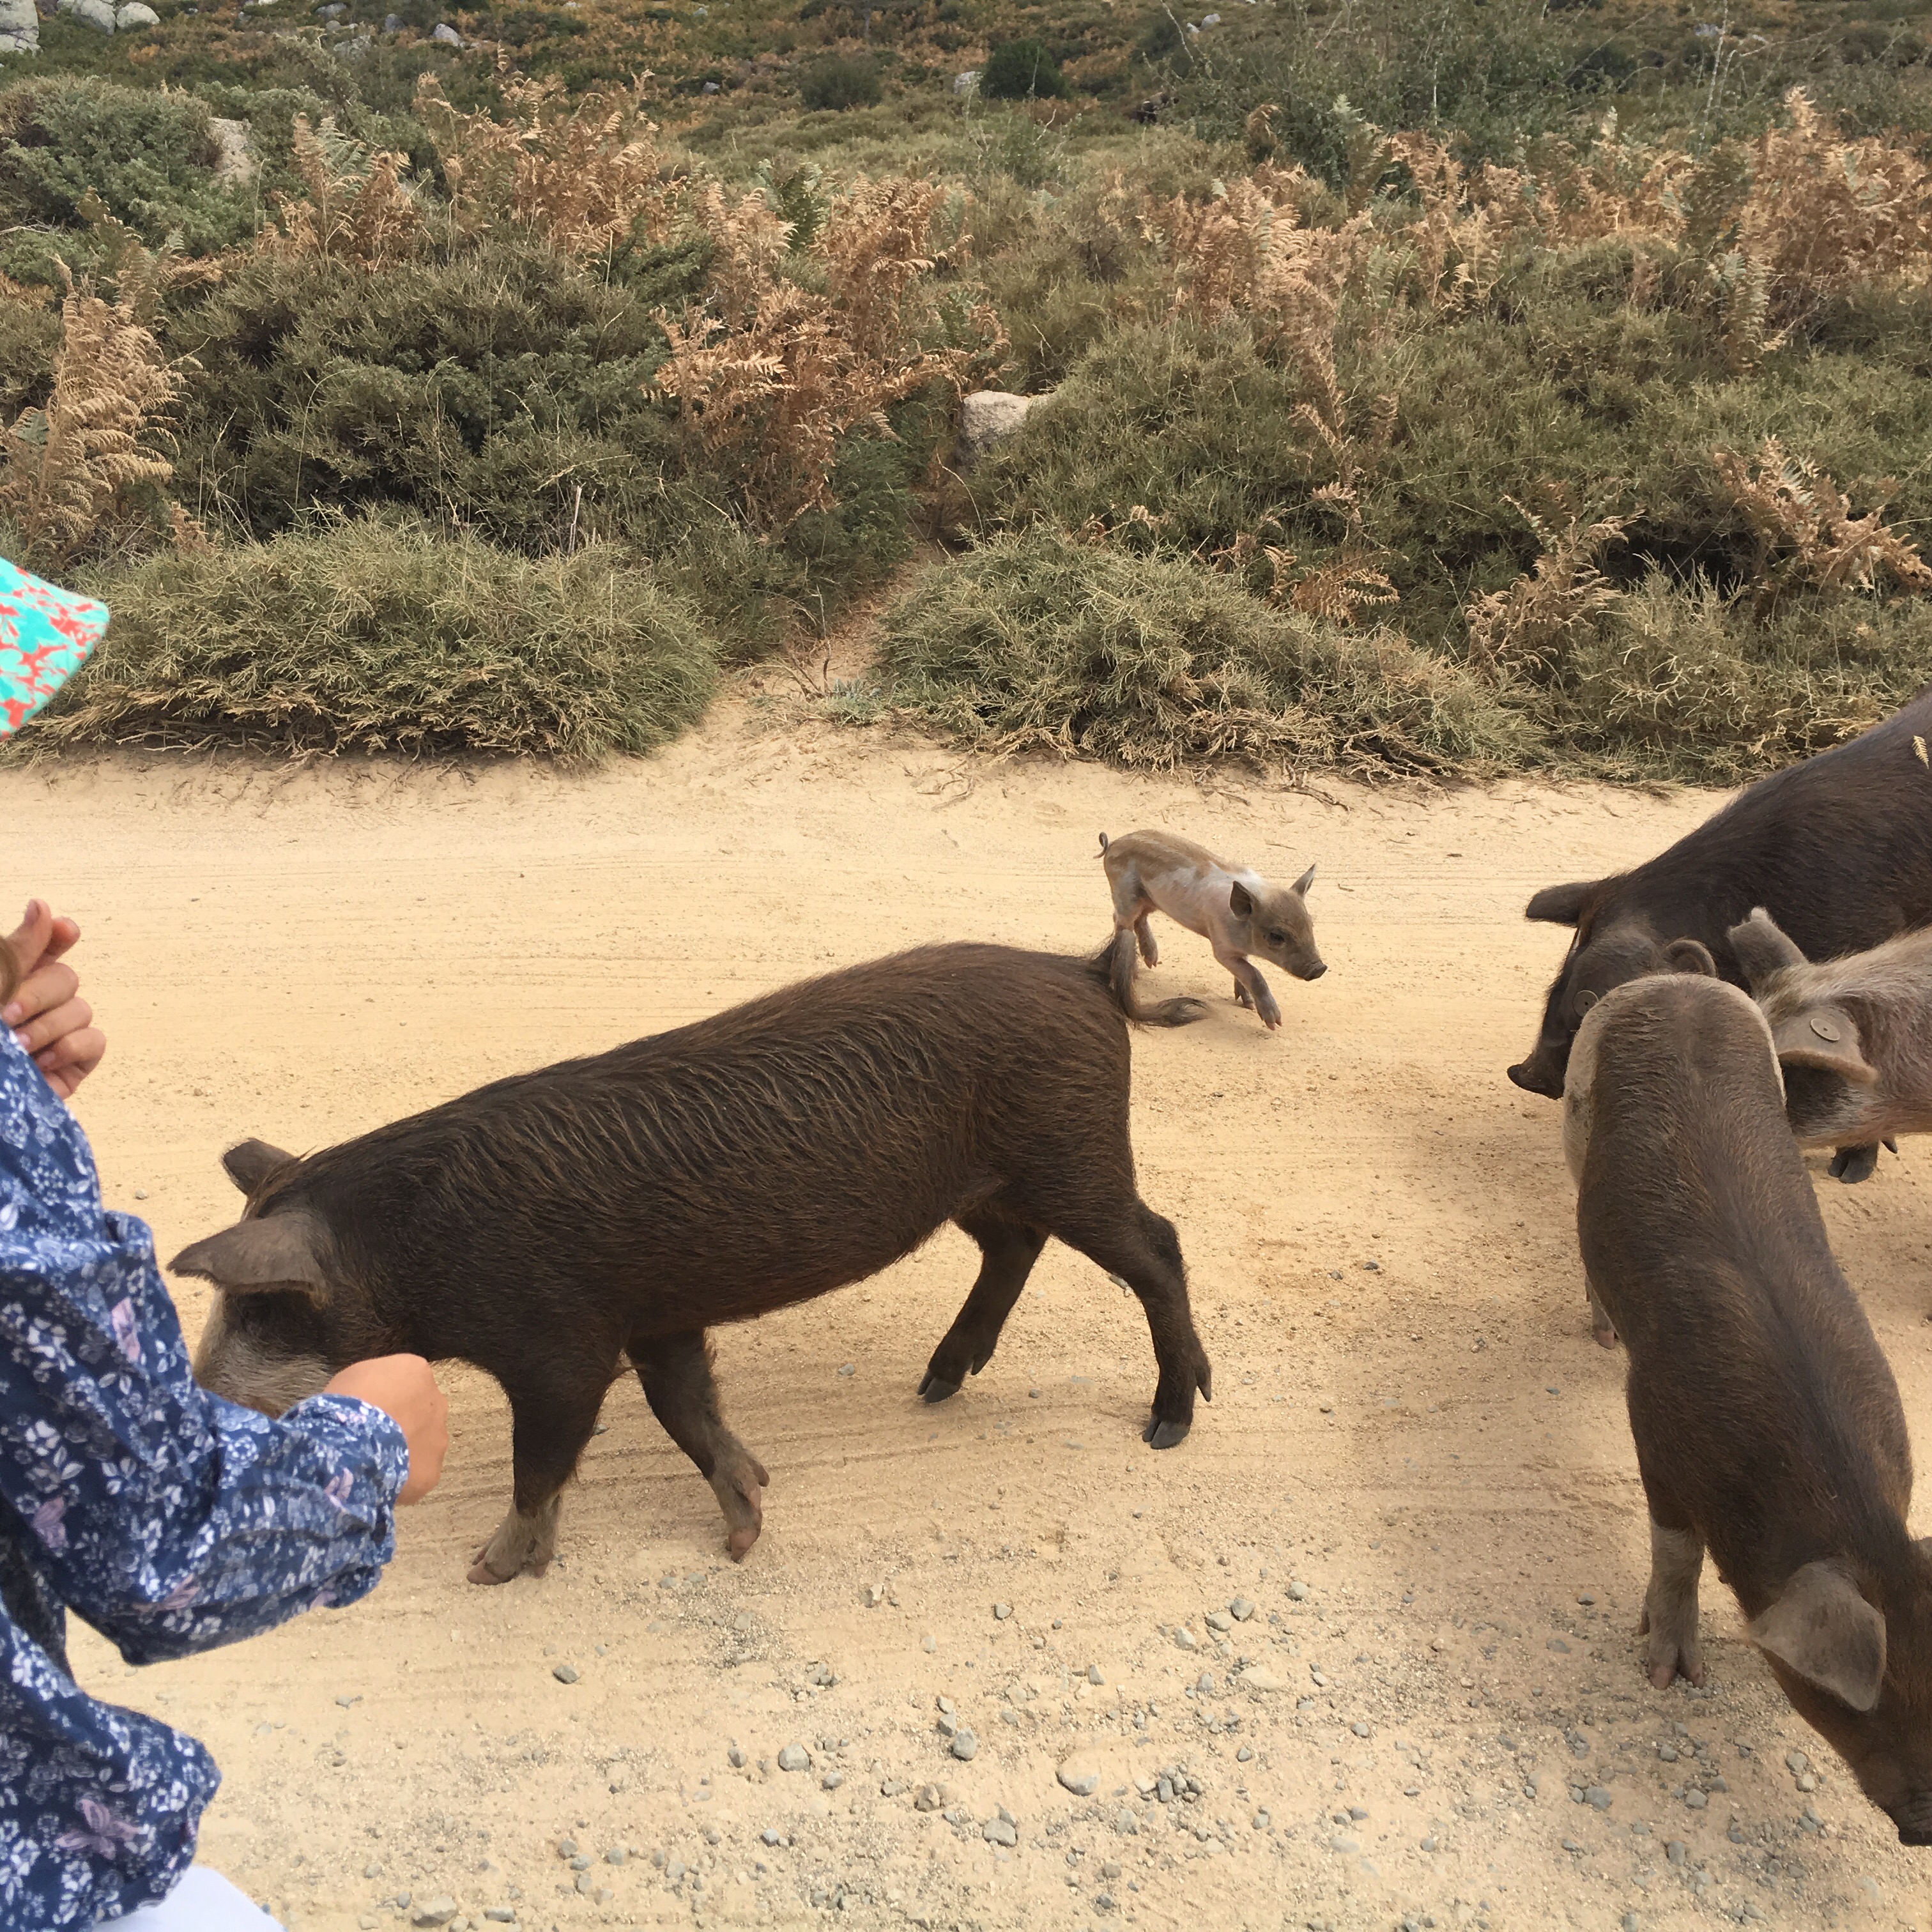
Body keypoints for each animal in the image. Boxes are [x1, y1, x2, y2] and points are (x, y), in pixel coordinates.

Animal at [171, 944, 1212, 1585]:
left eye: (264, 1306)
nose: (199, 1396)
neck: (407, 1251)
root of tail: (1082, 972)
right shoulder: (658, 1318)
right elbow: (687, 1413)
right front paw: (750, 1520)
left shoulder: (561, 1347)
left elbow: (541, 1458)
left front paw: (486, 1571)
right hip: (1002, 1182)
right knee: (1016, 1246)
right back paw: (937, 1386)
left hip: (1075, 1155)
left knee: (1158, 1244)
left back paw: (1168, 1425)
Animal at [1098, 829, 1325, 1031]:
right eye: (1276, 936)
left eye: (1310, 924)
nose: (1320, 968)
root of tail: (1113, 844)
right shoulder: (1221, 946)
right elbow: (1254, 973)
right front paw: (1275, 1023)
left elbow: (1245, 971)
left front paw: (1249, 1005)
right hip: (1125, 894)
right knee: (1121, 920)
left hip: (1149, 900)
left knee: (1140, 919)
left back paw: (1152, 962)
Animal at [1564, 966, 1932, 1843]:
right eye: (1858, 1704)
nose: (1926, 1828)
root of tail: (1674, 978)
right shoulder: (1654, 1429)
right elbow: (1675, 1555)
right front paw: (1671, 1678)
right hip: (1574, 1107)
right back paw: (1599, 1334)